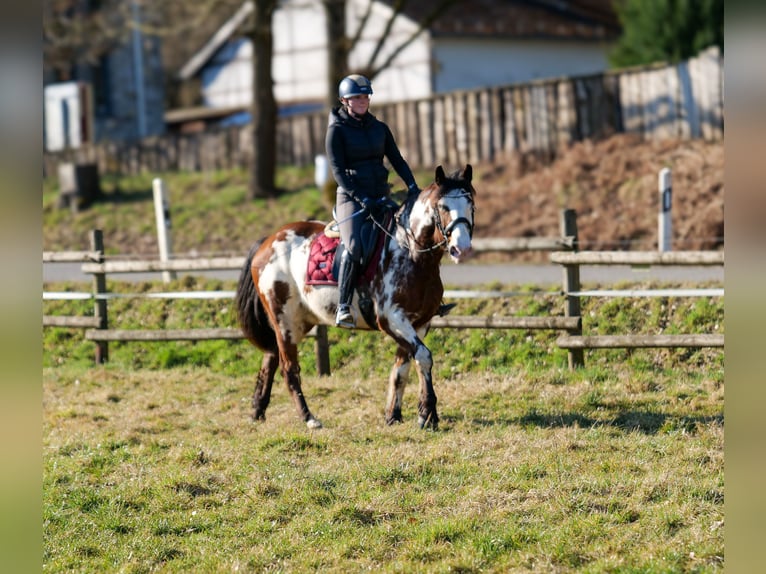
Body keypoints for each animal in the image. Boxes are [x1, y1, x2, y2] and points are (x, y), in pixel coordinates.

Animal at [234, 164, 476, 430]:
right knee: (289, 369)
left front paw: (395, 415)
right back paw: (308, 418)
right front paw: (427, 414)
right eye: (443, 207)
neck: (411, 252)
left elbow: (402, 369)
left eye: (471, 204)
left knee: (270, 359)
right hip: (285, 322)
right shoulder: (392, 319)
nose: (462, 249)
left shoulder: (419, 323)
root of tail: (267, 242)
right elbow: (424, 357)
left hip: (297, 322)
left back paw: (257, 411)